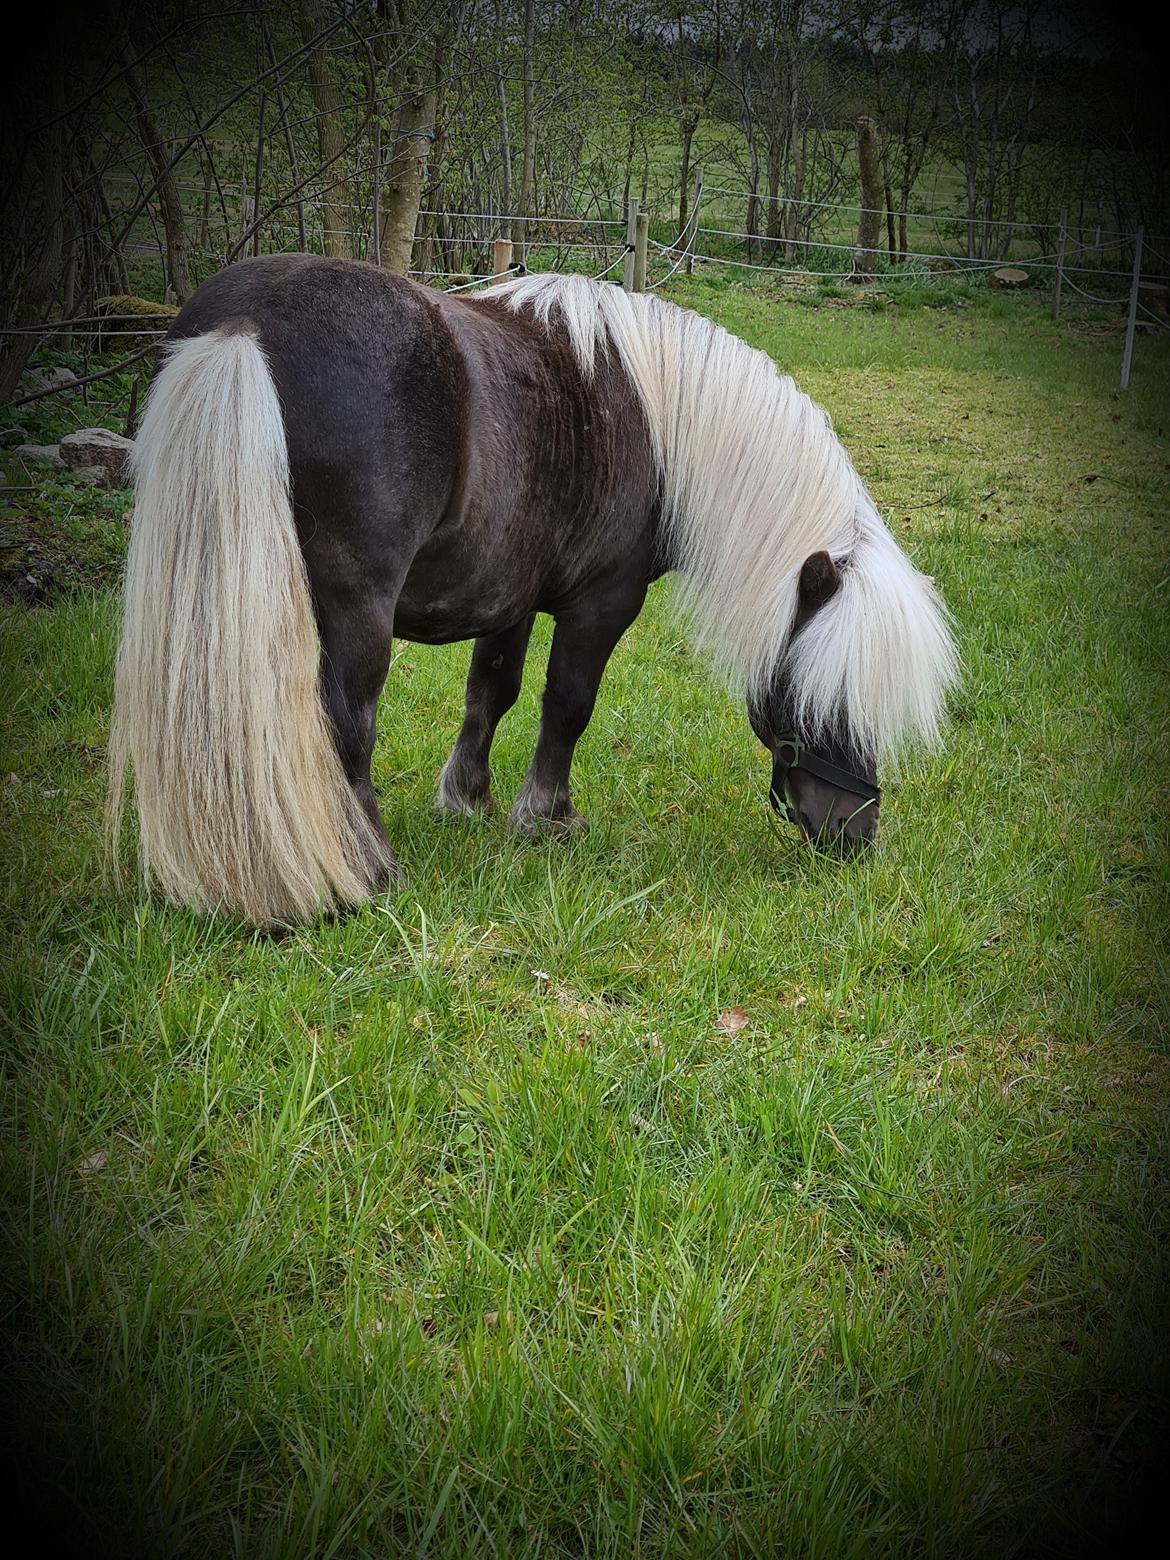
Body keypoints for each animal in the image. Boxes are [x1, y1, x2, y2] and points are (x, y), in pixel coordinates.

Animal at [105, 249, 954, 917]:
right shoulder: (600, 605)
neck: (654, 421)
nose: (854, 835)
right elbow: (567, 704)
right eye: (824, 695)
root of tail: (244, 328)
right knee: (347, 721)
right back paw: (371, 868)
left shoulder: (505, 594)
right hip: (355, 607)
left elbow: (492, 690)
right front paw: (546, 817)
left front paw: (468, 798)